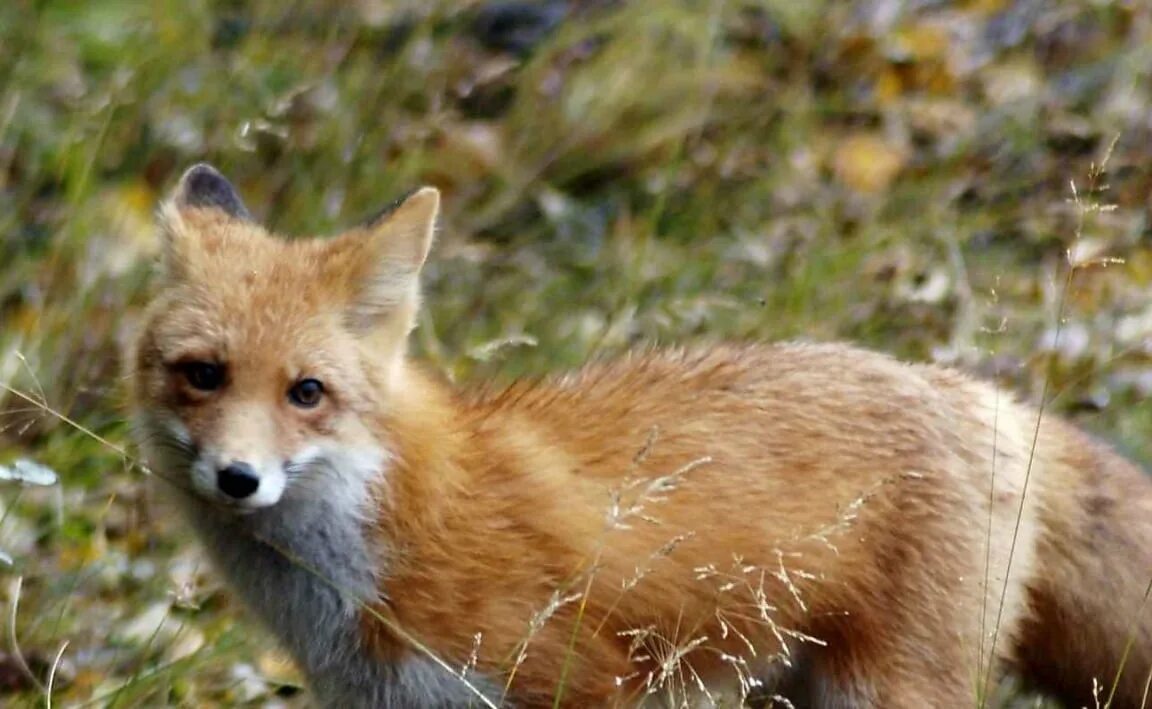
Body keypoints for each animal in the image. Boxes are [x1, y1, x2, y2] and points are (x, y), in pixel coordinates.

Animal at [128, 162, 1152, 709]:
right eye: (203, 374)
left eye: (307, 392)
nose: (237, 477)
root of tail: (976, 393)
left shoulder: (583, 679)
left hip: (883, 690)